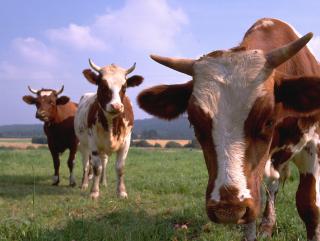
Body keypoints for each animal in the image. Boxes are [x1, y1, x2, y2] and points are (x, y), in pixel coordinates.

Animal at [74, 58, 143, 200]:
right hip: (83, 145)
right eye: (102, 85)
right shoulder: (93, 143)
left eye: (124, 87)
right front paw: (94, 192)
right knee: (86, 164)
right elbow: (96, 168)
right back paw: (84, 184)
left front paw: (121, 192)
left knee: (104, 162)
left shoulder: (126, 142)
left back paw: (103, 182)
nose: (116, 106)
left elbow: (120, 167)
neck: (112, 124)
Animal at [138, 17, 320, 240]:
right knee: (272, 186)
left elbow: (309, 205)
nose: (228, 210)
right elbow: (254, 210)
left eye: (268, 120)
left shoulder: (313, 144)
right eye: (194, 122)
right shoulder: (254, 177)